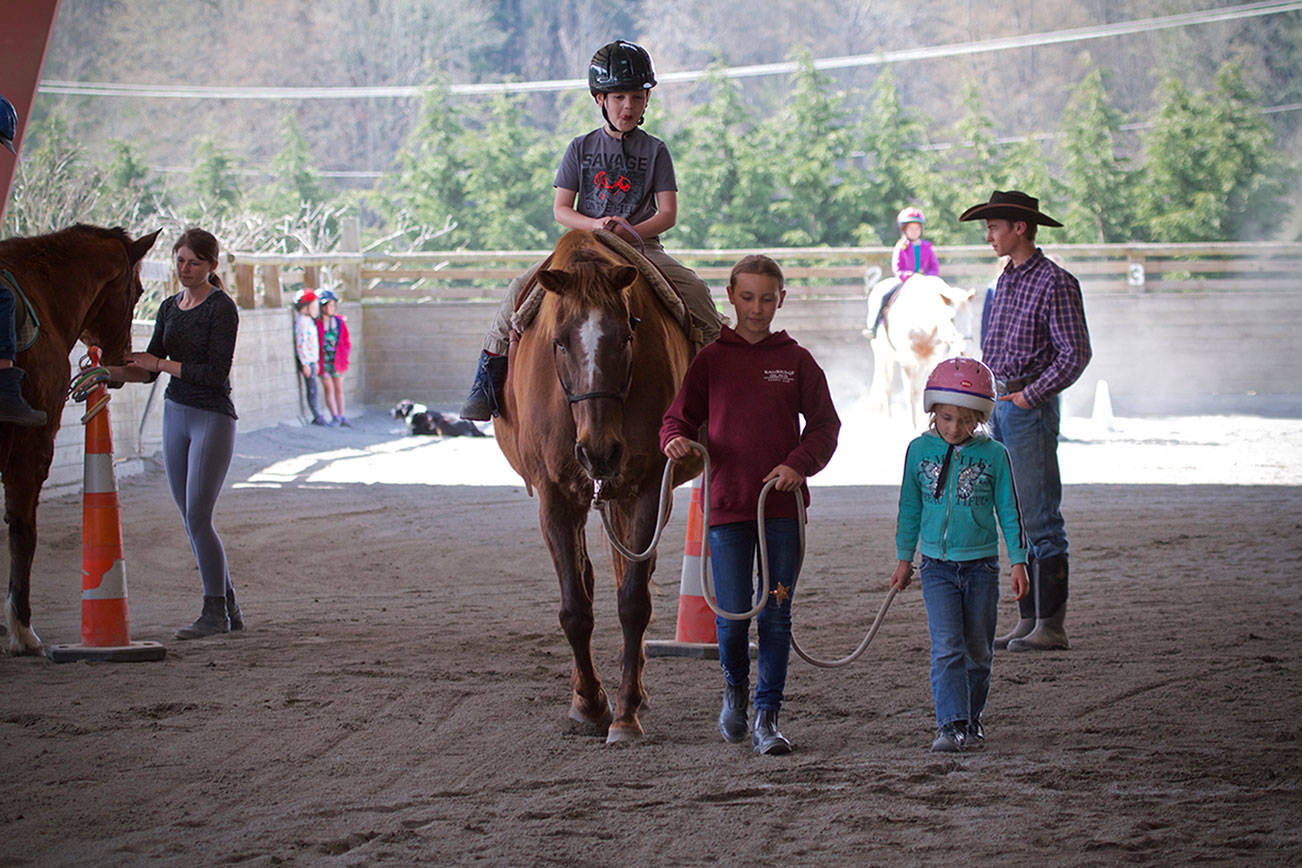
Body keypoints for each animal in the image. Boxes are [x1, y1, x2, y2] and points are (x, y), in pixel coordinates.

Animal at [494, 227, 703, 744]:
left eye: (628, 334)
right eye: (559, 342)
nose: (600, 451)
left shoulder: (647, 489)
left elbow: (633, 601)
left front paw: (625, 712)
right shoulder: (554, 498)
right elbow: (575, 606)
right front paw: (590, 703)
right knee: (587, 579)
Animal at [864, 273, 979, 426]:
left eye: (971, 318)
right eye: (952, 319)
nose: (965, 350)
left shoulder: (932, 362)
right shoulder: (908, 364)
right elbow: (911, 395)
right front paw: (912, 426)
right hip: (883, 355)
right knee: (887, 386)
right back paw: (889, 418)